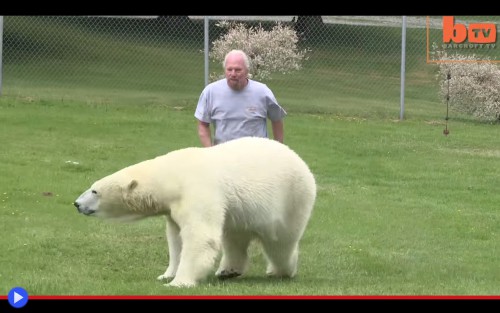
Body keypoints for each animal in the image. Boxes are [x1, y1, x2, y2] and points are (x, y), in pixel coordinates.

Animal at [73, 136, 316, 288]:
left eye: (95, 191)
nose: (76, 203)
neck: (171, 175)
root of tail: (303, 163)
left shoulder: (197, 190)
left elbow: (200, 236)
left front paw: (178, 282)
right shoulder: (173, 207)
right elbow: (176, 239)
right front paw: (166, 274)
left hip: (291, 199)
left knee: (280, 242)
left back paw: (281, 270)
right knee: (234, 236)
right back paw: (228, 271)